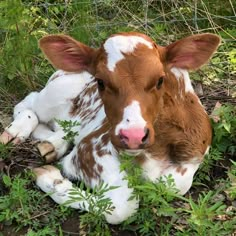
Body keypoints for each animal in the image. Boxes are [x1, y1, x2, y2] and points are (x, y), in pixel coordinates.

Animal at [0, 32, 220, 224]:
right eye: (101, 81)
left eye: (160, 80)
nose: (133, 136)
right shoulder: (90, 150)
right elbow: (122, 207)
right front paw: (52, 179)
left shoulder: (193, 157)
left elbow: (173, 185)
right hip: (53, 95)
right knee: (28, 102)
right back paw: (15, 131)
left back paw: (51, 145)